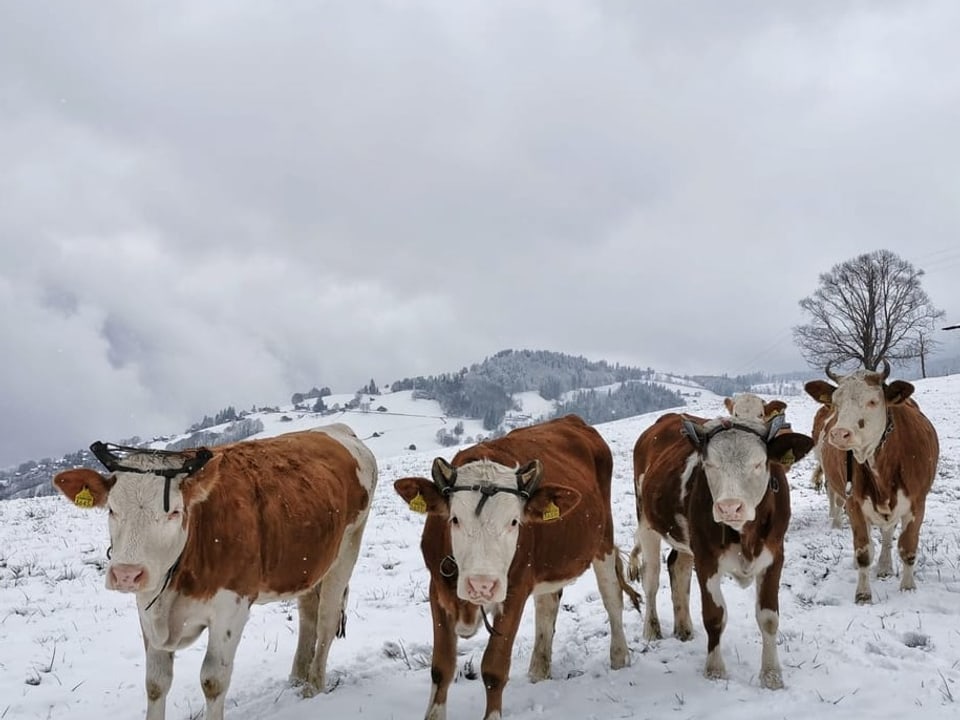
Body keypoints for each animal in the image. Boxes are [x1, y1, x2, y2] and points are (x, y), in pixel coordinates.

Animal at [50, 422, 376, 720]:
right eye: (112, 510)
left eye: (174, 512)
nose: (127, 575)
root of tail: (335, 429)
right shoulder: (148, 610)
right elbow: (155, 682)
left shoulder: (231, 608)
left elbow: (213, 681)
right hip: (310, 563)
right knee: (308, 613)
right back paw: (297, 678)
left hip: (347, 550)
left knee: (326, 620)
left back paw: (314, 686)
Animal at [394, 414, 632, 720]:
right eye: (455, 519)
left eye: (514, 522)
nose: (482, 585)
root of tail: (571, 419)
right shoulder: (437, 588)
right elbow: (441, 668)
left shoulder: (514, 590)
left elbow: (494, 669)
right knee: (547, 605)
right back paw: (539, 670)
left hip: (603, 541)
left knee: (611, 596)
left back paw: (619, 656)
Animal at [632, 410, 812, 688]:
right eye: (709, 465)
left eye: (759, 463)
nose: (729, 507)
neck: (745, 535)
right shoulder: (706, 559)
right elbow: (715, 616)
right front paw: (715, 670)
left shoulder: (774, 557)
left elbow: (769, 618)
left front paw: (771, 676)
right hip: (646, 522)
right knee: (650, 577)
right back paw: (651, 629)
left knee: (678, 567)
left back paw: (683, 627)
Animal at [804, 362, 936, 604]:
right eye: (836, 402)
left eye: (873, 401)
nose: (839, 433)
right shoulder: (854, 502)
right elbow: (863, 551)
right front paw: (863, 593)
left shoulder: (917, 503)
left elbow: (907, 547)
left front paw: (908, 587)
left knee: (887, 534)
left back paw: (884, 566)